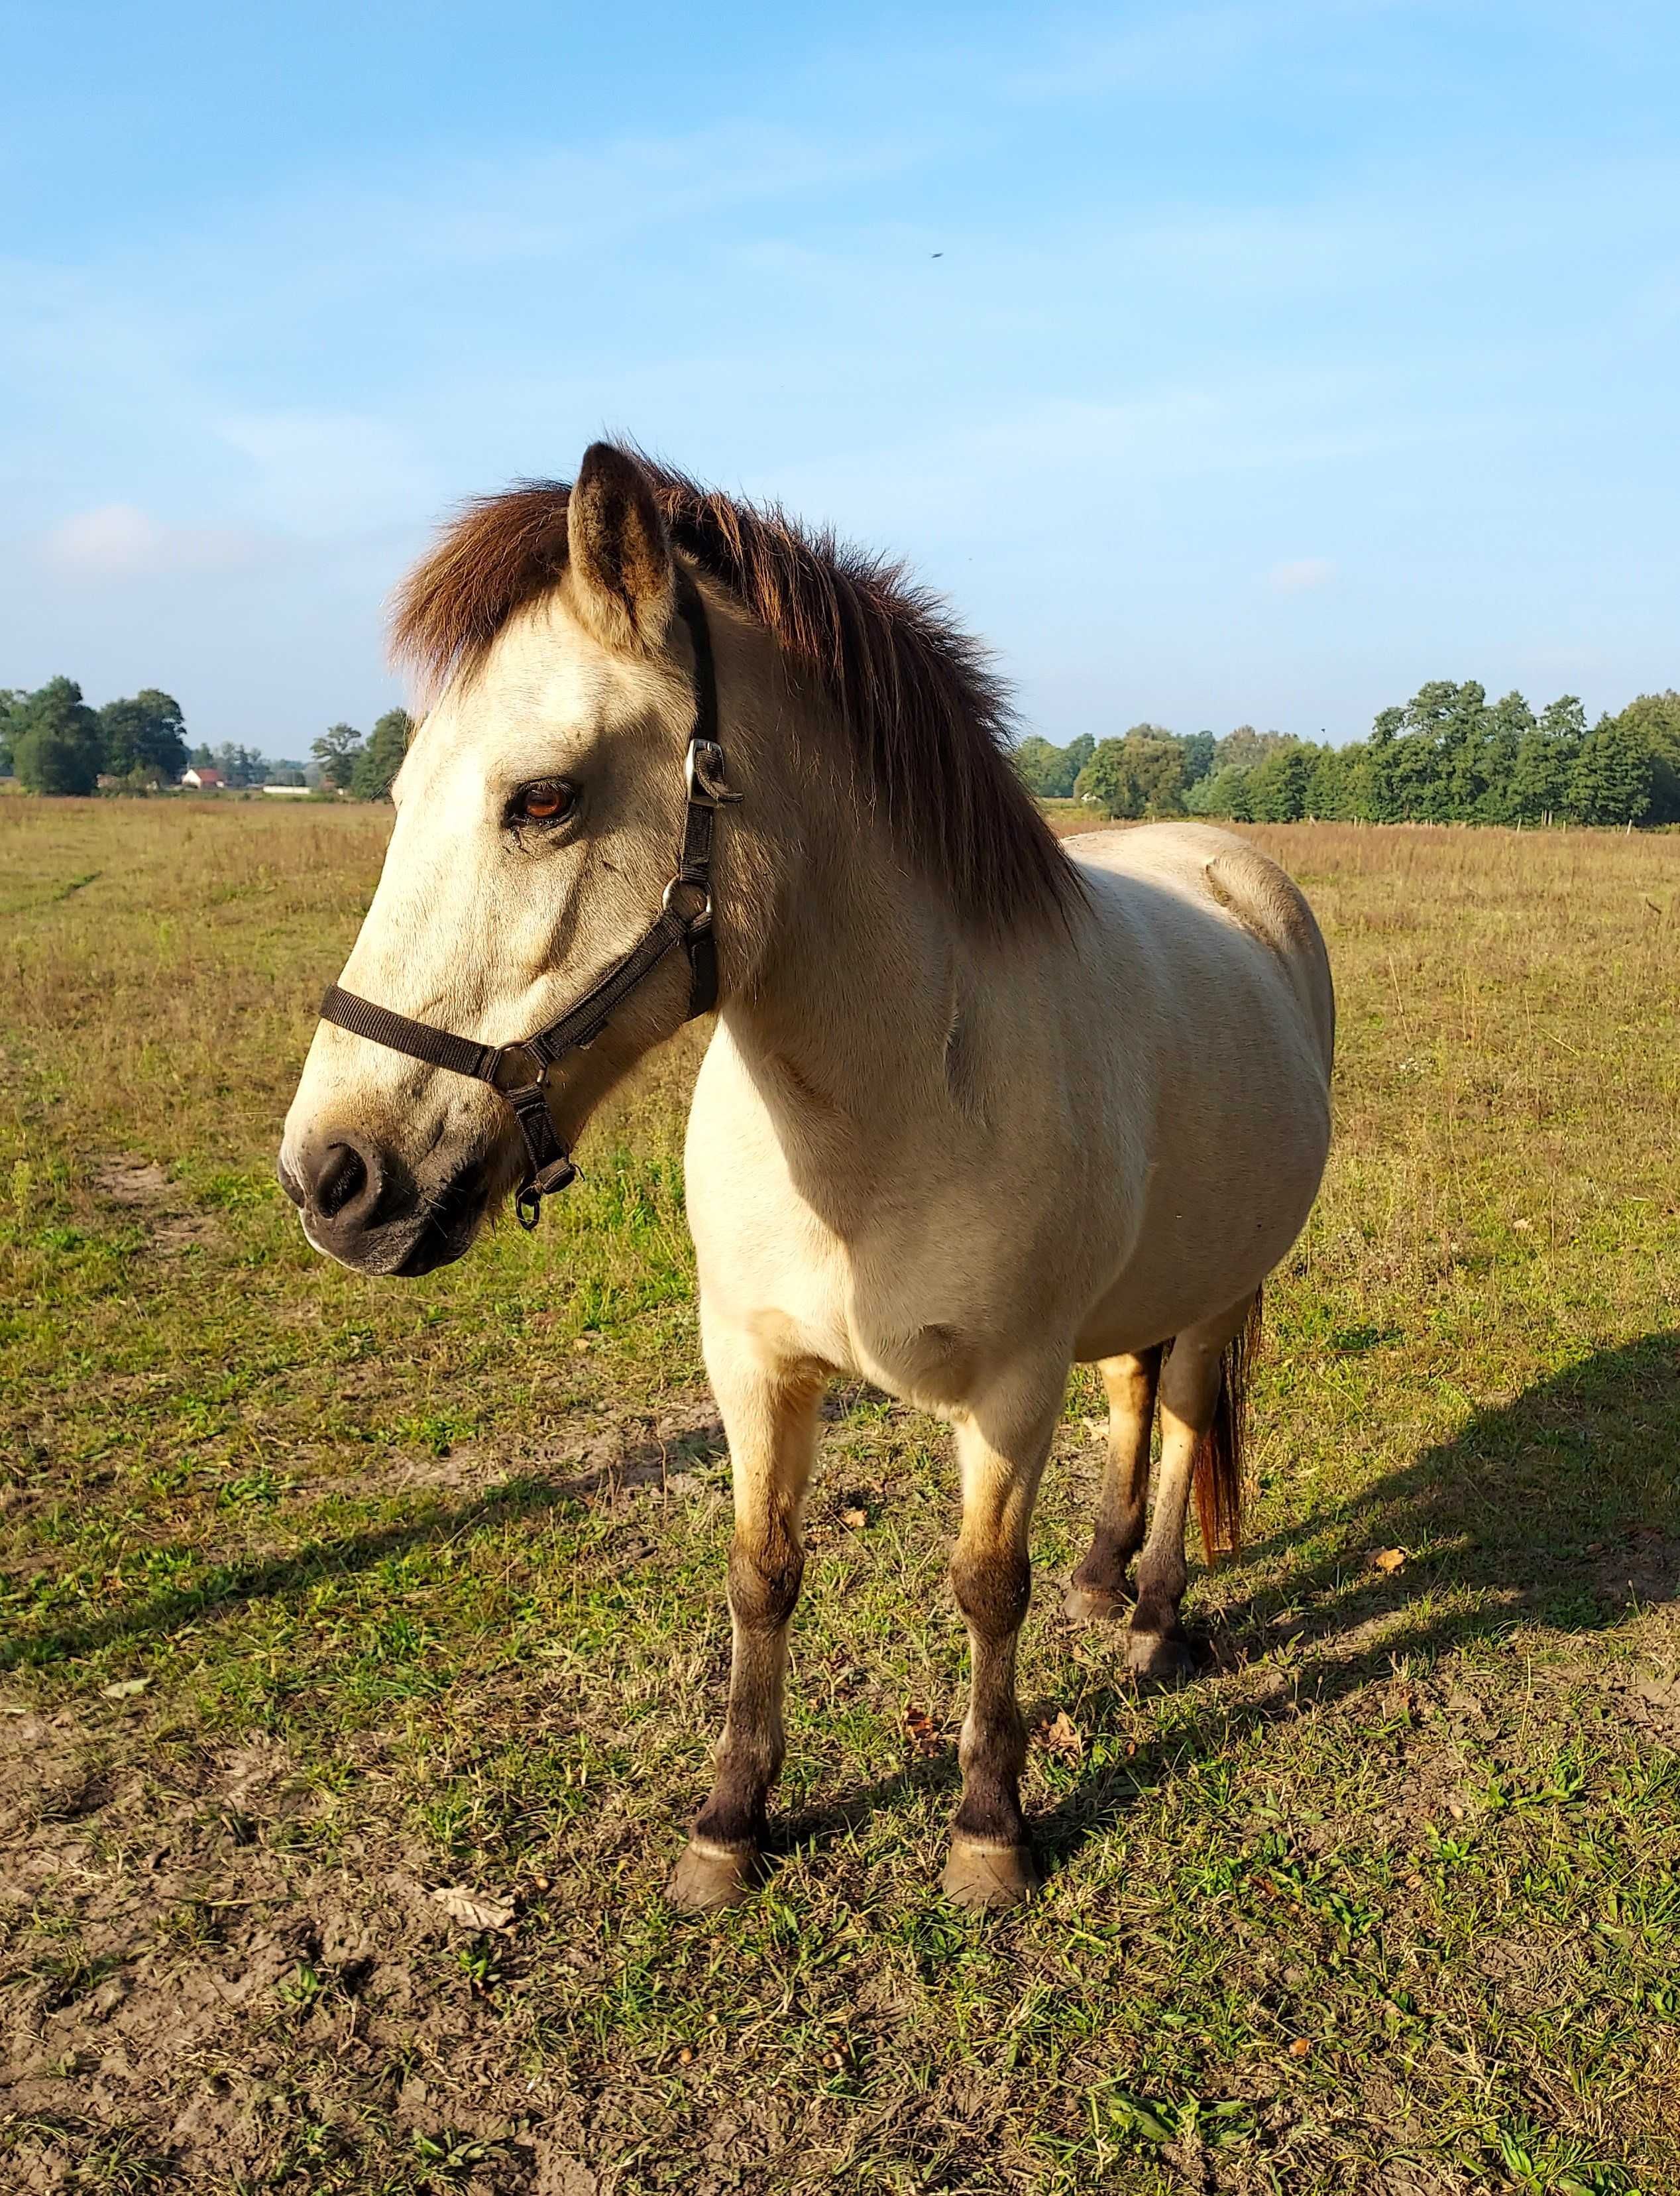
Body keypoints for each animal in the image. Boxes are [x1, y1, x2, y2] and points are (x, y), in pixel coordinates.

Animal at [278, 441, 1335, 1906]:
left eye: (542, 799)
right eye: (396, 795)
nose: (332, 1176)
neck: (887, 1112)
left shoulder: (1008, 1390)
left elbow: (982, 1589)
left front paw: (988, 1825)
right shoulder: (754, 1362)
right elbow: (761, 1574)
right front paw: (731, 1821)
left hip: (1227, 1286)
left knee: (1179, 1415)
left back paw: (1159, 1615)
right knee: (1132, 1397)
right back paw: (1100, 1573)